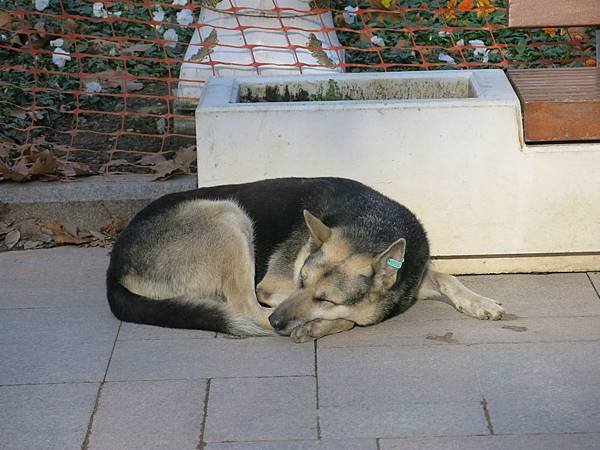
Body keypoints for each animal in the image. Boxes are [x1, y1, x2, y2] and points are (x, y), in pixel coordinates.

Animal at [106, 176, 502, 342]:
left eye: (326, 298)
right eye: (300, 281)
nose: (281, 320)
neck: (371, 227)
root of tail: (115, 263)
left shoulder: (413, 276)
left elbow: (448, 277)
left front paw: (480, 302)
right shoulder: (273, 290)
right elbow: (351, 319)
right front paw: (320, 325)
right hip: (227, 216)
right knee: (247, 311)